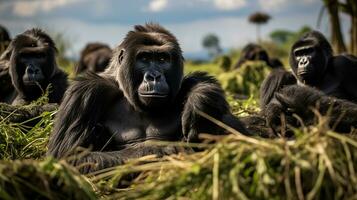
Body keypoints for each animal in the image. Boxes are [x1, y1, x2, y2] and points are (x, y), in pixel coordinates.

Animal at [46, 23, 248, 173]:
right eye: (144, 58)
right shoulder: (85, 92)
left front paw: (200, 99)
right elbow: (69, 157)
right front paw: (156, 150)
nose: (154, 76)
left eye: (162, 59)